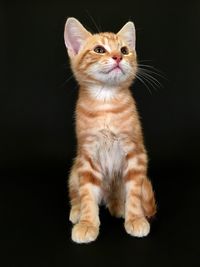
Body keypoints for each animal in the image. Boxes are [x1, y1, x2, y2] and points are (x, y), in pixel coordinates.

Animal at [64, 17, 156, 245]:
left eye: (124, 50)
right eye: (99, 49)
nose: (117, 57)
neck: (106, 102)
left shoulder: (136, 154)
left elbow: (135, 193)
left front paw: (136, 219)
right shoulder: (87, 156)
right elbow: (87, 194)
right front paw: (87, 223)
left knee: (117, 196)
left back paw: (118, 206)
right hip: (74, 170)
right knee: (77, 193)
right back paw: (77, 210)